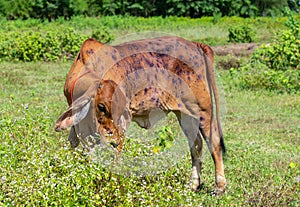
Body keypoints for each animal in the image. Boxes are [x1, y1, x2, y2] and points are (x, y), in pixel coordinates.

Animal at [55, 36, 226, 194]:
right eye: (101, 106)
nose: (114, 141)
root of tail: (195, 44)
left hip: (203, 109)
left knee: (213, 141)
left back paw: (219, 186)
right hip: (184, 114)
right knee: (196, 143)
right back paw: (194, 184)